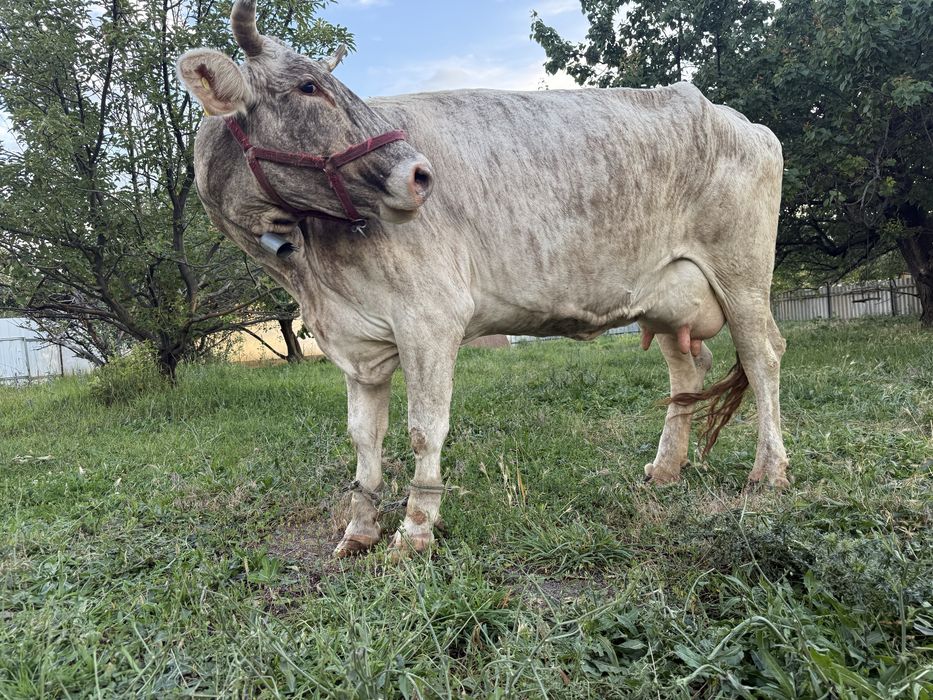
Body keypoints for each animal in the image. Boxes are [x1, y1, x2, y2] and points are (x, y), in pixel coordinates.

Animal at [177, 0, 790, 558]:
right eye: (307, 86)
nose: (420, 174)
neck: (313, 273)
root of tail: (737, 118)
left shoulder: (430, 319)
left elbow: (424, 428)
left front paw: (415, 530)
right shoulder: (354, 340)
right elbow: (363, 437)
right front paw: (359, 529)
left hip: (742, 274)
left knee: (763, 357)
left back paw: (770, 472)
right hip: (665, 297)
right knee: (688, 369)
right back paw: (665, 468)